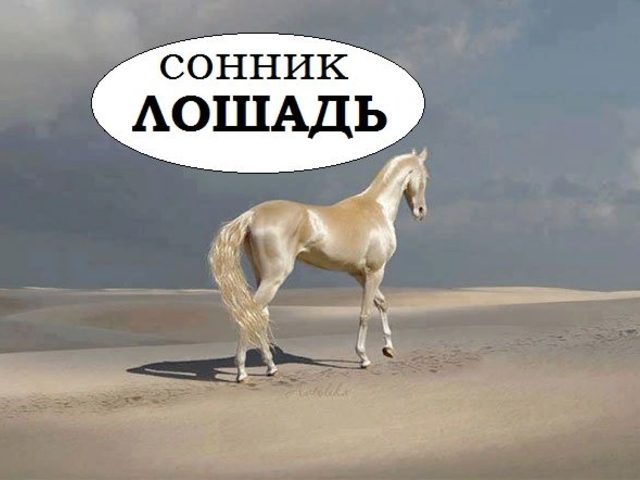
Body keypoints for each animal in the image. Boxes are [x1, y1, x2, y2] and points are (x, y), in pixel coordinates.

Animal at [209, 148, 430, 382]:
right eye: (425, 177)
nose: (421, 211)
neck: (376, 209)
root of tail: (251, 215)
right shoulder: (375, 271)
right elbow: (365, 313)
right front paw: (363, 357)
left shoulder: (360, 274)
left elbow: (382, 303)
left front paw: (388, 348)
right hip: (274, 278)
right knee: (250, 314)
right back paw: (242, 372)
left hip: (263, 277)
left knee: (259, 315)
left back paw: (270, 367)